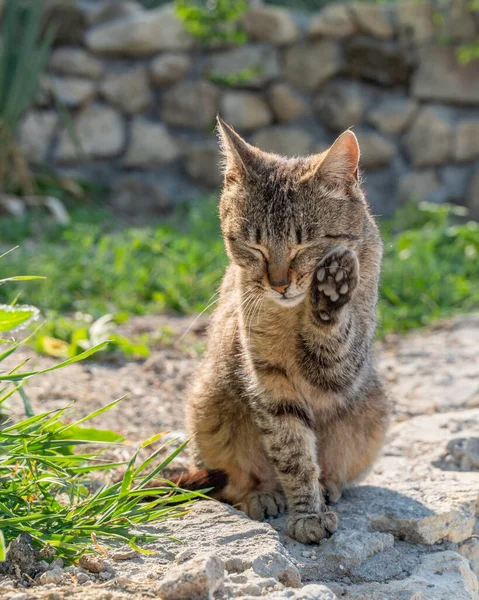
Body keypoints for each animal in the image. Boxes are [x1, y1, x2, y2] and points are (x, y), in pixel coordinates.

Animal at [183, 117, 390, 544]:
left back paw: (328, 486)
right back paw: (261, 494)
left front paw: (332, 289)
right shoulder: (270, 379)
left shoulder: (348, 366)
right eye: (254, 247)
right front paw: (306, 513)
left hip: (373, 409)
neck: (295, 314)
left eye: (305, 245)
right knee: (230, 482)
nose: (278, 284)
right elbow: (292, 452)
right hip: (206, 404)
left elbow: (335, 341)